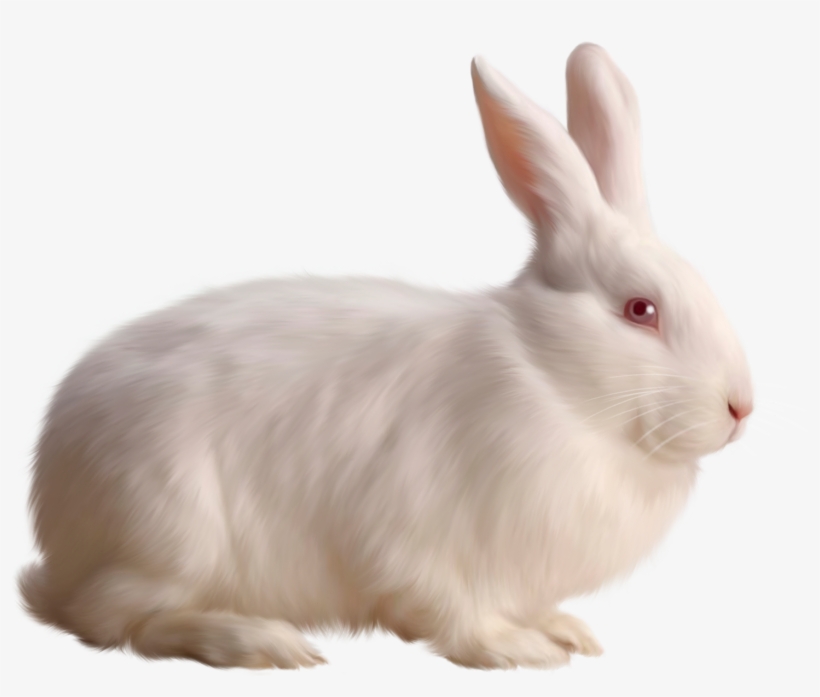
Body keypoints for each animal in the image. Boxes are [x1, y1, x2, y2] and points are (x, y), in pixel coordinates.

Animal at [18, 43, 753, 670]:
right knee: (118, 619)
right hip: (172, 531)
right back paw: (259, 640)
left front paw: (564, 629)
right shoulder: (419, 538)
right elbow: (452, 610)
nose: (741, 407)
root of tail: (56, 525)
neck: (552, 380)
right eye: (641, 310)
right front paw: (518, 648)